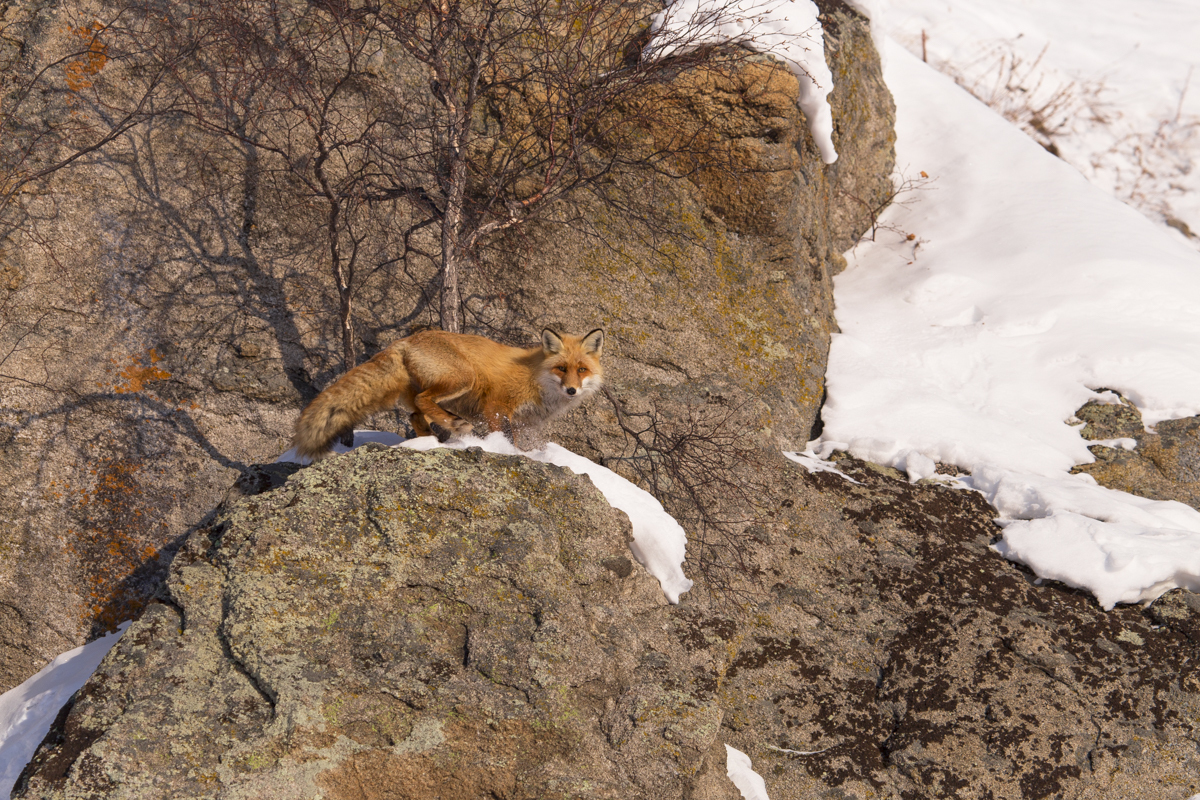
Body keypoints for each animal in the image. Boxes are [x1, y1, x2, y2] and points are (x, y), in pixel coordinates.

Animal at [295, 328, 604, 460]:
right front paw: (506, 451)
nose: (572, 390)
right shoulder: (497, 406)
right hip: (463, 378)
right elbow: (504, 437)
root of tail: (404, 340)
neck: (535, 376)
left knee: (415, 414)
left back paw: (433, 439)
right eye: (561, 368)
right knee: (423, 402)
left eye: (582, 370)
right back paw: (451, 424)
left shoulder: (521, 420)